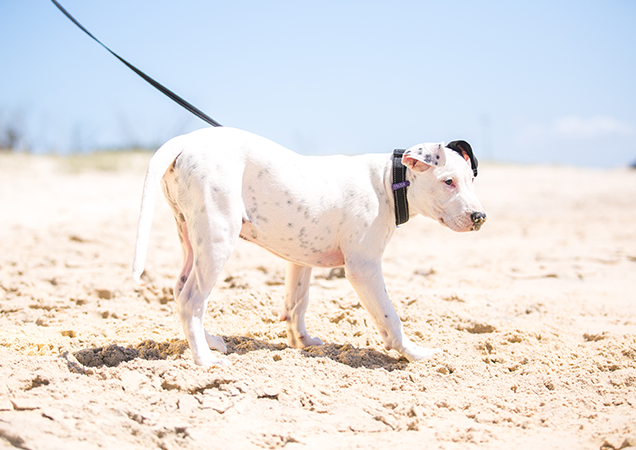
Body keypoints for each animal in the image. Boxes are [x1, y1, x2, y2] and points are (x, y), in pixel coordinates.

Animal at [133, 127, 486, 366]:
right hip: (218, 236)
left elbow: (296, 303)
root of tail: (189, 138)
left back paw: (211, 343)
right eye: (448, 182)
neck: (388, 182)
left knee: (182, 291)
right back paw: (205, 360)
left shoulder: (300, 260)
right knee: (193, 299)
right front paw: (414, 352)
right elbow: (389, 315)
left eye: (471, 179)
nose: (480, 217)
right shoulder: (364, 267)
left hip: (191, 236)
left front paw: (302, 342)